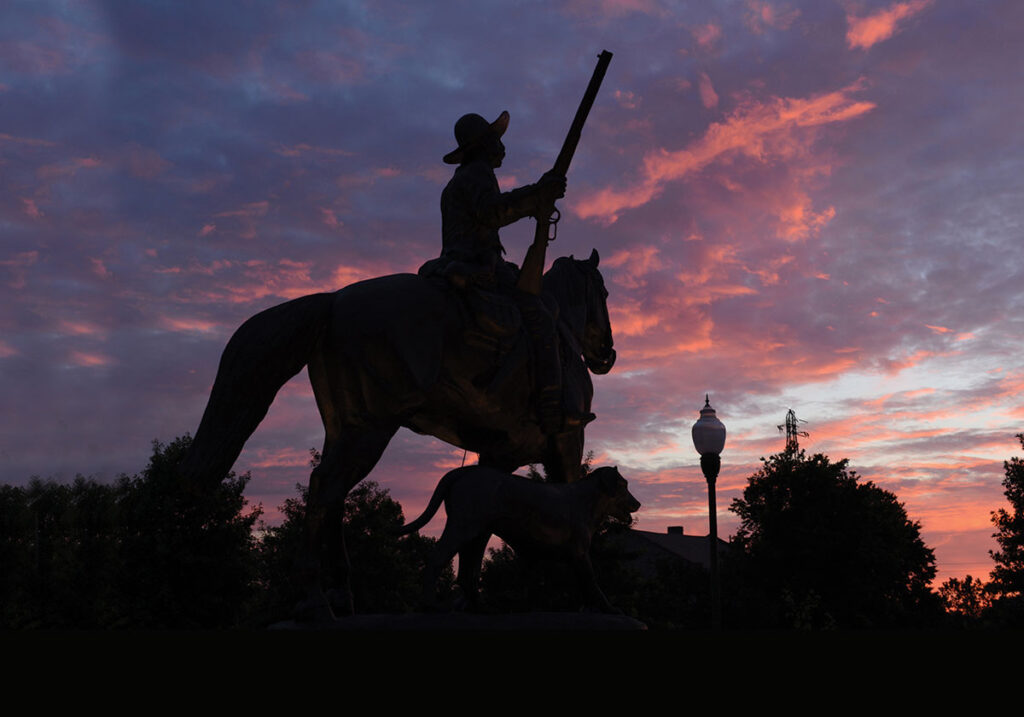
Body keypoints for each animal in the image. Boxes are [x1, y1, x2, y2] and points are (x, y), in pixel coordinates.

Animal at [180, 247, 614, 614]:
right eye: (605, 292)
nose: (607, 354)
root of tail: (334, 299)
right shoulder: (567, 445)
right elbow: (565, 503)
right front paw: (585, 599)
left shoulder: (496, 458)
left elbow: (479, 532)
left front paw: (468, 599)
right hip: (372, 429)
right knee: (325, 486)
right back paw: (316, 598)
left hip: (346, 427)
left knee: (334, 493)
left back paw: (341, 593)